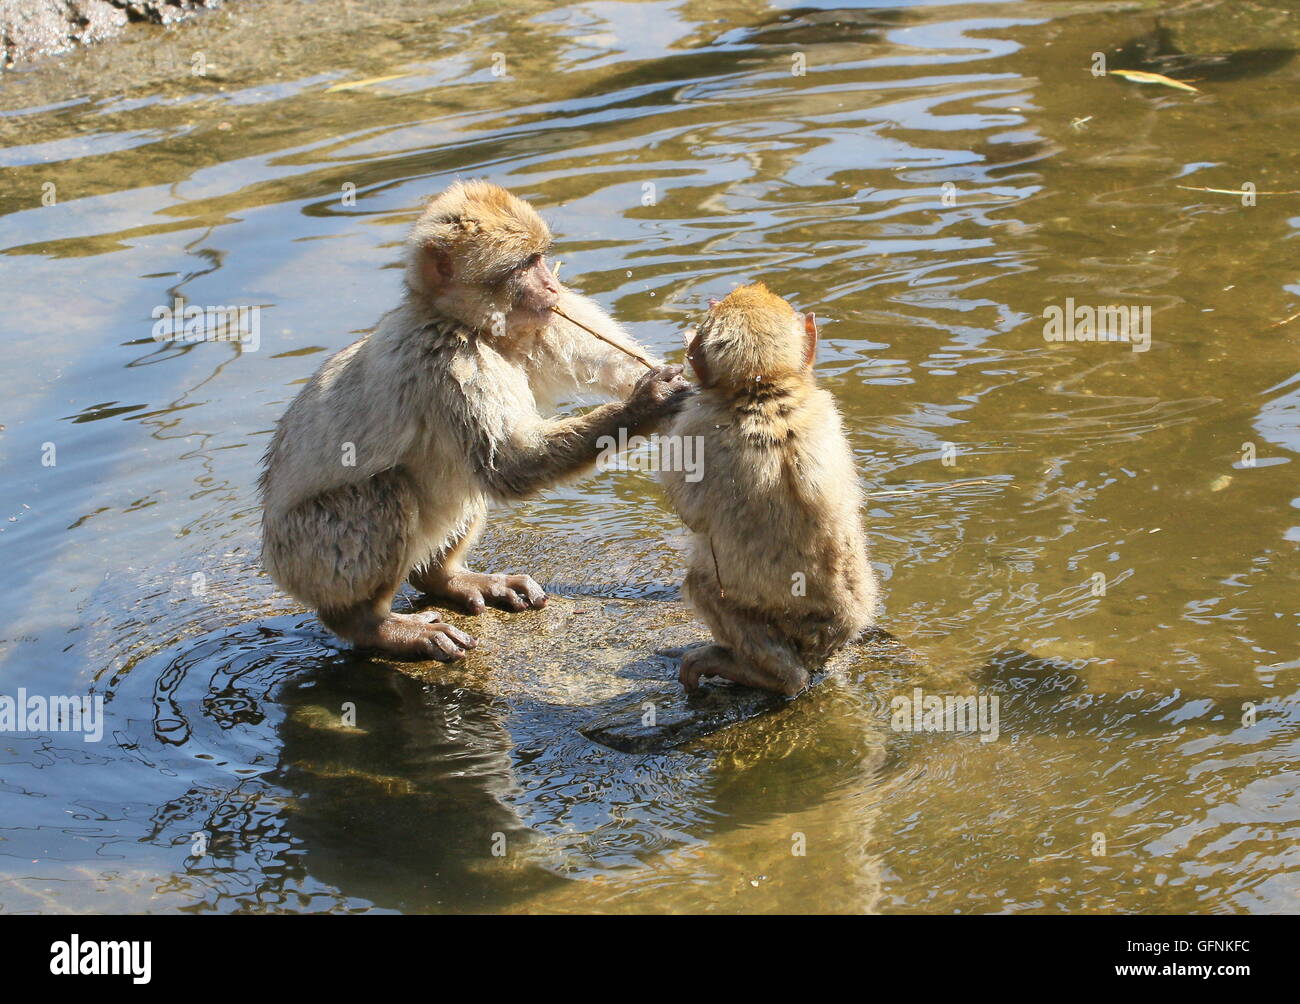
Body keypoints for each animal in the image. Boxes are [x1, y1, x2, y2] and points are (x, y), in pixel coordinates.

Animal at [259, 180, 690, 661]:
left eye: (541, 258)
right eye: (524, 265)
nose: (552, 285)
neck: (464, 324)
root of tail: (272, 556)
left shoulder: (541, 325)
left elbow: (610, 364)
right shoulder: (450, 362)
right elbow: (509, 464)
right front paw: (645, 406)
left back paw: (446, 578)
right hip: (311, 557)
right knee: (388, 488)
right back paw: (372, 625)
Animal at [658, 283, 879, 696]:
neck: (762, 391)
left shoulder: (692, 425)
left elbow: (691, 513)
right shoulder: (827, 406)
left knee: (702, 585)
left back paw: (770, 676)